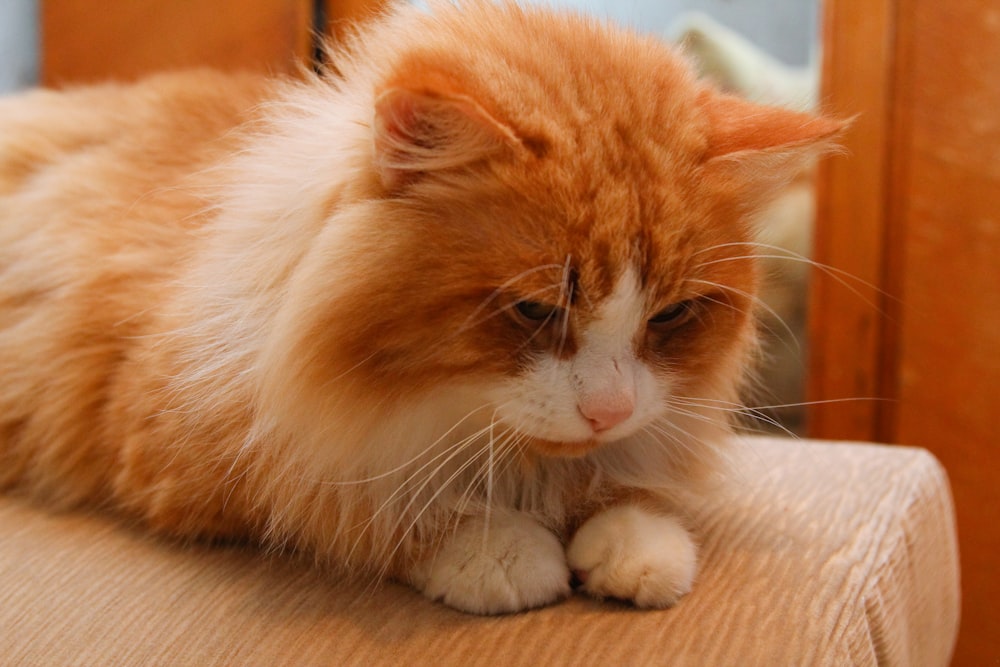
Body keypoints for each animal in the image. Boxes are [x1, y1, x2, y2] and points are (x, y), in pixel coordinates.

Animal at [0, 1, 840, 616]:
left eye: (669, 316)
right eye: (533, 308)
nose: (608, 410)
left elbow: (636, 488)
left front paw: (633, 541)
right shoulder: (179, 437)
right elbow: (376, 504)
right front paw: (500, 549)